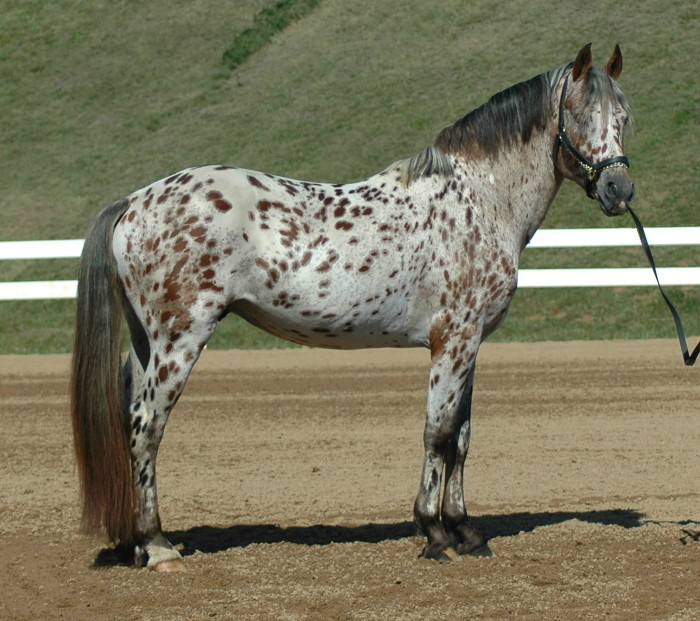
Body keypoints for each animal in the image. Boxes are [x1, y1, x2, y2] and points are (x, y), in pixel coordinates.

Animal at [71, 43, 634, 571]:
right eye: (579, 113)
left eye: (624, 117)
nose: (619, 188)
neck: (476, 201)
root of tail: (134, 201)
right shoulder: (451, 341)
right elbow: (437, 433)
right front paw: (434, 534)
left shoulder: (471, 344)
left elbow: (462, 438)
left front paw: (466, 532)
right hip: (180, 340)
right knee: (147, 425)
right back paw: (158, 546)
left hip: (147, 342)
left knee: (131, 418)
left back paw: (138, 543)